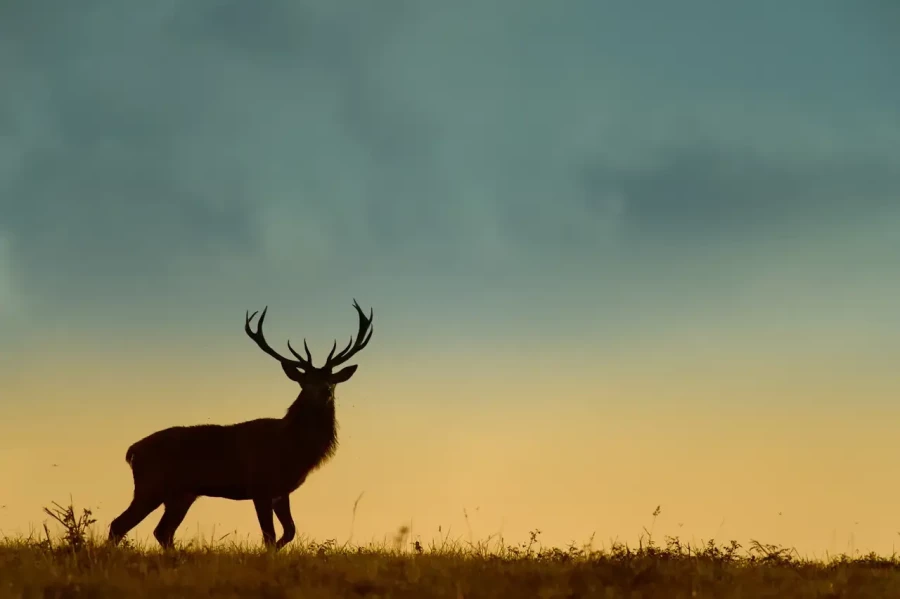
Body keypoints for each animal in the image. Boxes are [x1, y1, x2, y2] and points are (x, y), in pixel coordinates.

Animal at [107, 300, 374, 550]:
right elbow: (270, 535)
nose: (325, 392)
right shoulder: (260, 486)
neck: (292, 447)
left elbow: (289, 532)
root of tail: (132, 451)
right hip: (151, 485)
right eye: (305, 382)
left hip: (181, 494)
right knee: (120, 524)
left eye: (332, 381)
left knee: (162, 532)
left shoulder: (281, 491)